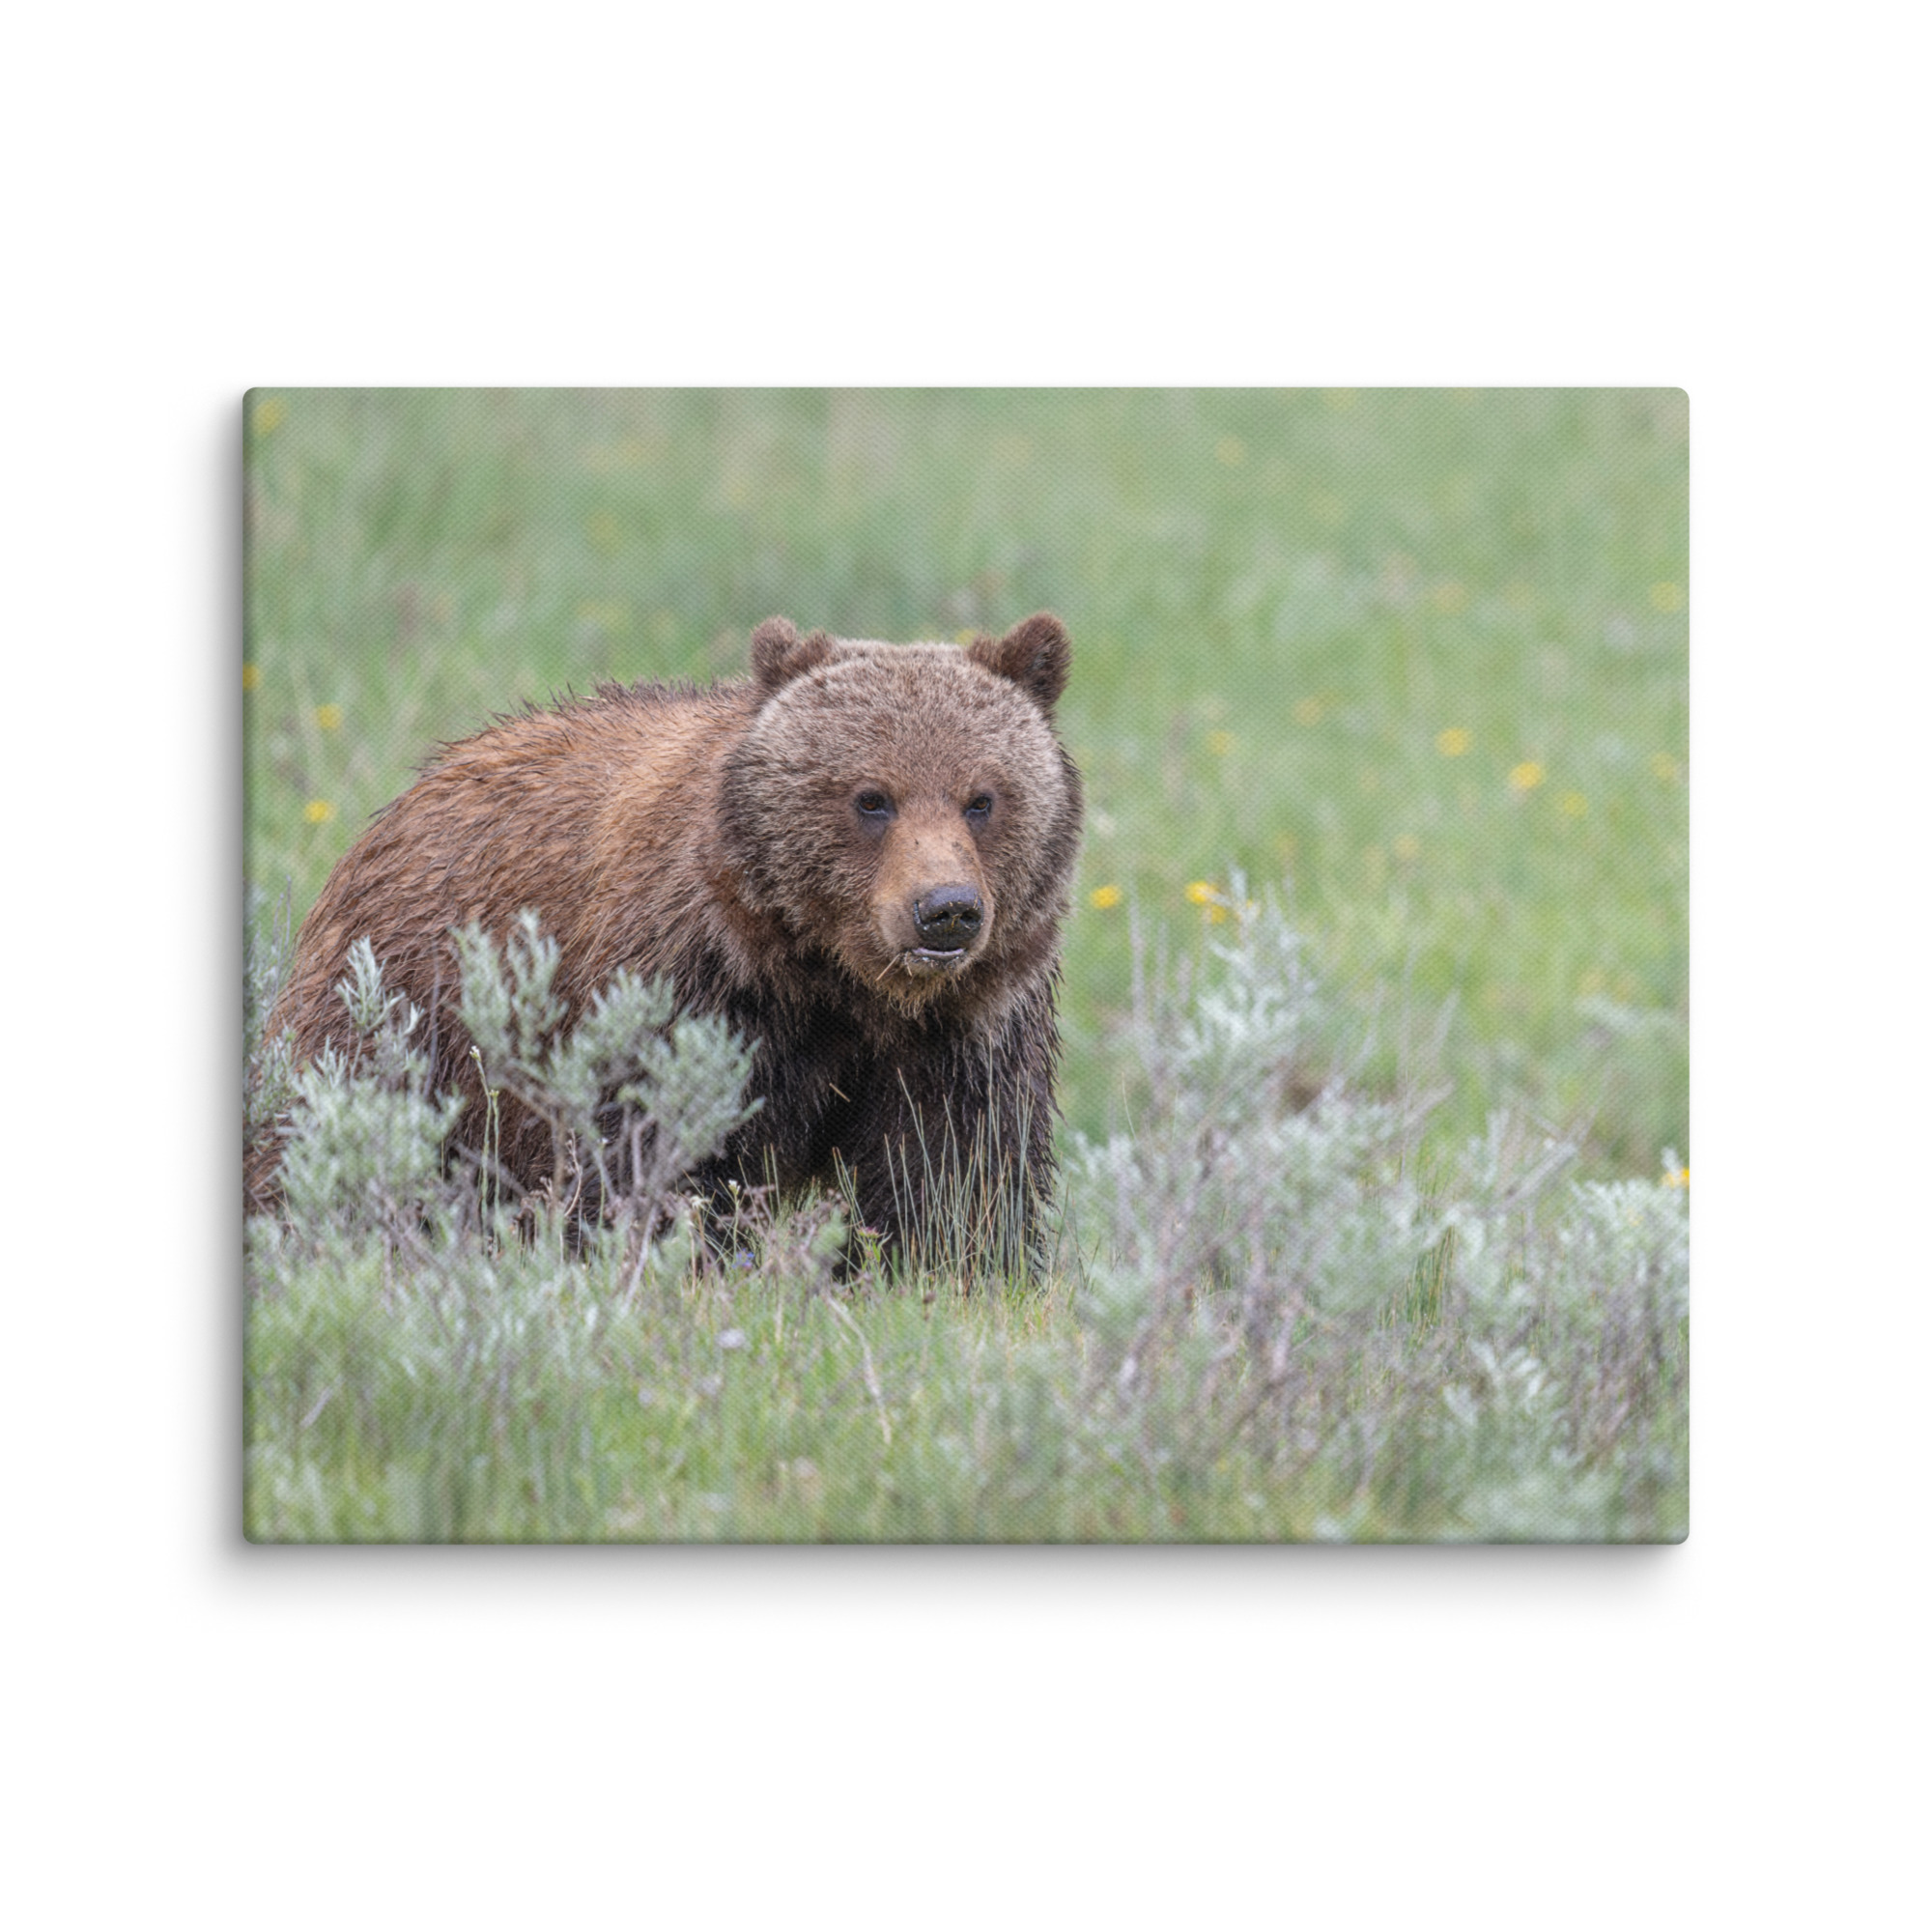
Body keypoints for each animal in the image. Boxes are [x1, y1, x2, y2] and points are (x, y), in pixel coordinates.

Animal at [250, 612, 1084, 1274]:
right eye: (871, 798)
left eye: (982, 798)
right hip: (407, 1005)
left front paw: (943, 1271)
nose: (945, 911)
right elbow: (650, 1151)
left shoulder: (965, 1025)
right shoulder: (691, 988)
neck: (835, 980)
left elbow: (954, 1173)